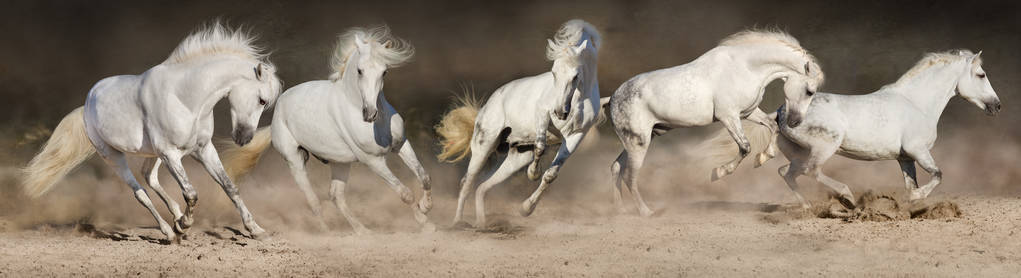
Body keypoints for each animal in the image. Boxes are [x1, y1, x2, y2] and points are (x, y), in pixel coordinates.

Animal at [20, 22, 283, 243]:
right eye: (262, 100)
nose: (244, 138)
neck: (185, 98)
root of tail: (86, 104)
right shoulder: (171, 154)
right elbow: (191, 193)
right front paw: (185, 224)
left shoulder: (202, 149)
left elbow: (229, 186)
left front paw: (256, 230)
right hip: (113, 156)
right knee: (141, 192)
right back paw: (170, 232)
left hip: (152, 154)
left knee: (150, 178)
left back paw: (175, 218)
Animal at [221, 26, 432, 235]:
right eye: (360, 70)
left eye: (385, 72)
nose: (370, 114)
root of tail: (278, 108)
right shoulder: (373, 161)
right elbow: (404, 193)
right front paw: (425, 223)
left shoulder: (401, 144)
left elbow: (424, 177)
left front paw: (426, 207)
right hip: (295, 161)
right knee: (313, 200)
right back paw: (327, 232)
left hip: (340, 163)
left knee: (336, 196)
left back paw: (363, 231)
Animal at [608, 30, 824, 216]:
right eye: (809, 91)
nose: (795, 122)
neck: (745, 67)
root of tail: (612, 99)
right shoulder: (728, 116)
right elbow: (745, 147)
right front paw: (718, 172)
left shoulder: (748, 113)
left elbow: (773, 128)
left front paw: (762, 158)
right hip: (639, 143)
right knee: (629, 176)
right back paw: (647, 212)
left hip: (640, 140)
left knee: (616, 168)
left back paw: (621, 211)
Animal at [775, 50, 1000, 207]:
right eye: (981, 75)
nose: (997, 105)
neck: (916, 103)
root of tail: (781, 112)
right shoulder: (918, 150)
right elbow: (938, 175)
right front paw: (916, 197)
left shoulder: (905, 158)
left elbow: (912, 184)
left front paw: (912, 204)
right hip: (824, 148)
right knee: (811, 171)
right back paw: (847, 198)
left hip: (802, 153)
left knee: (786, 172)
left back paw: (807, 207)